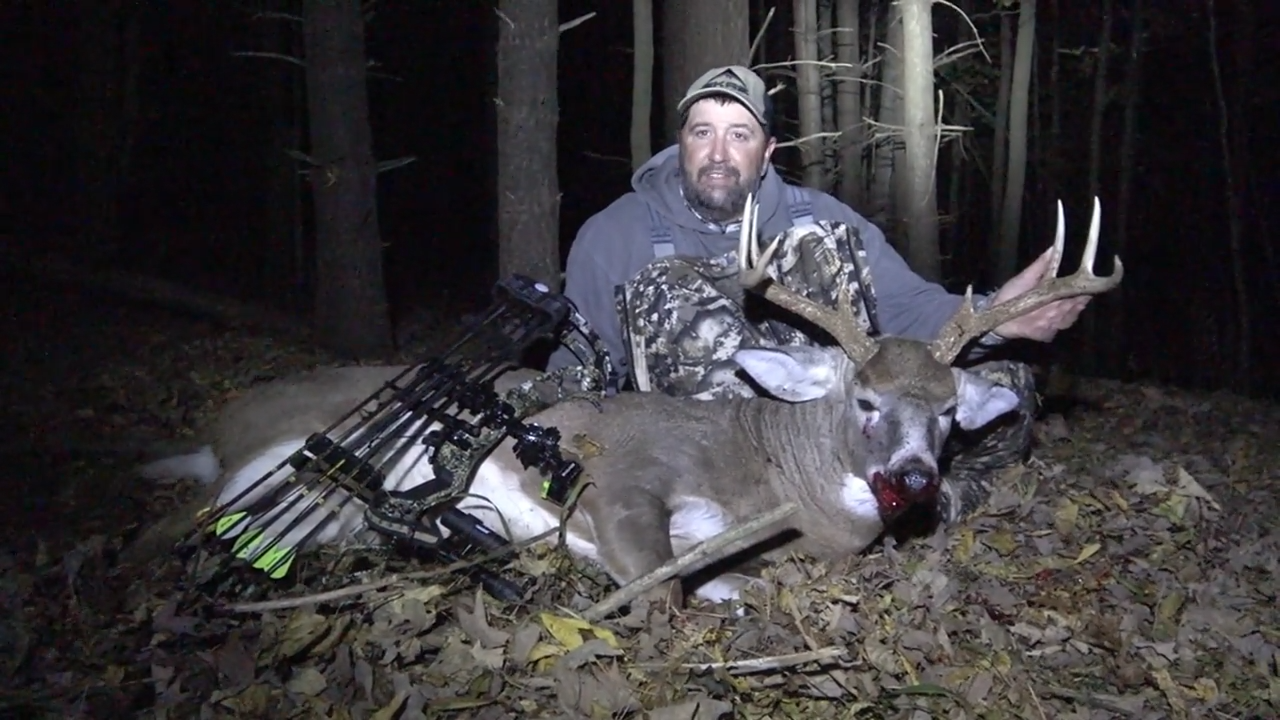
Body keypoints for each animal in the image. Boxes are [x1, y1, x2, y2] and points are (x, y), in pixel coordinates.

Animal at [126, 195, 1122, 611]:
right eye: (868, 400)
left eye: (951, 410)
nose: (913, 478)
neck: (778, 474)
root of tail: (221, 425)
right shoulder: (628, 477)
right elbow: (655, 585)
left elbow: (710, 577)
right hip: (274, 465)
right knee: (180, 522)